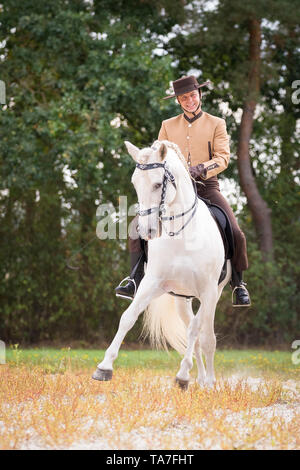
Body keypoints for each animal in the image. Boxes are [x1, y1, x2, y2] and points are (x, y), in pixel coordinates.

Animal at [92, 140, 231, 390]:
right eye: (135, 183)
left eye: (158, 184)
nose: (146, 231)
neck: (182, 234)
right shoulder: (153, 282)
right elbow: (128, 317)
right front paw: (104, 367)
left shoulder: (208, 291)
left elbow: (197, 331)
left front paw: (183, 374)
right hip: (182, 299)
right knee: (196, 337)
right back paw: (201, 379)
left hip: (214, 295)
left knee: (206, 337)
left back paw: (209, 382)